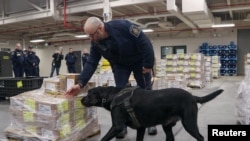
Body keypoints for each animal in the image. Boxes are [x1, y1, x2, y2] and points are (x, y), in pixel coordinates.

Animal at [81, 86, 223, 141]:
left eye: (88, 93)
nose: (81, 99)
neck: (113, 95)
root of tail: (192, 96)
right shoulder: (141, 128)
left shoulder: (117, 127)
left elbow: (103, 138)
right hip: (167, 127)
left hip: (189, 123)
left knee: (200, 137)